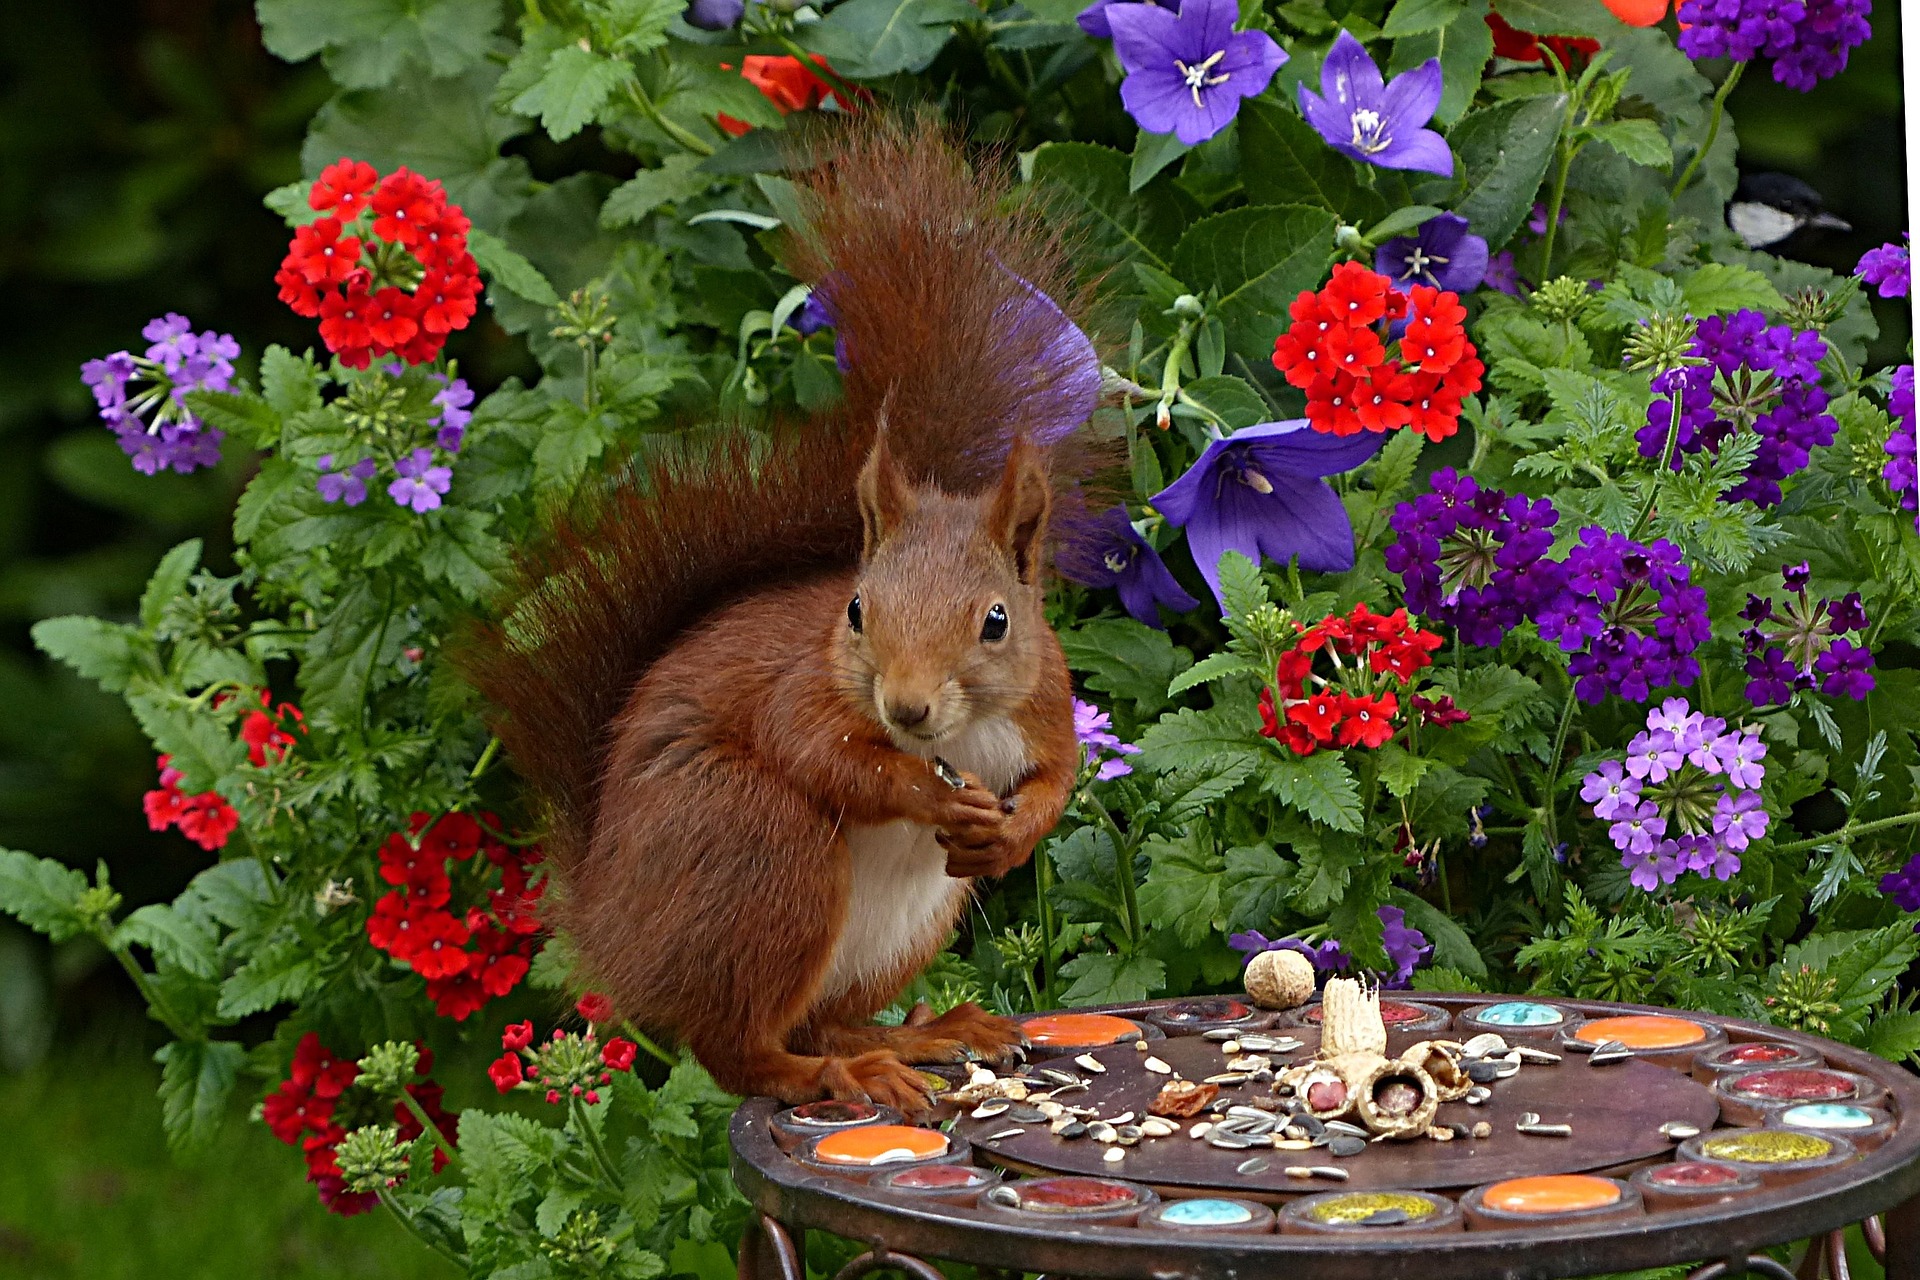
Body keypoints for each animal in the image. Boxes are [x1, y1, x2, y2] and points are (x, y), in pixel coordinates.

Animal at [464, 119, 1105, 1113]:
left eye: (998, 621)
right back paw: (845, 1072)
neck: (953, 735)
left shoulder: (1044, 704)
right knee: (743, 1051)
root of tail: (613, 930)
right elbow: (816, 751)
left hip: (901, 926)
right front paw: (926, 793)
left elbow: (1058, 779)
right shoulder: (800, 690)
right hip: (762, 845)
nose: (906, 707)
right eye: (856, 609)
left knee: (814, 1018)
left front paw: (1010, 829)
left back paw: (923, 1035)